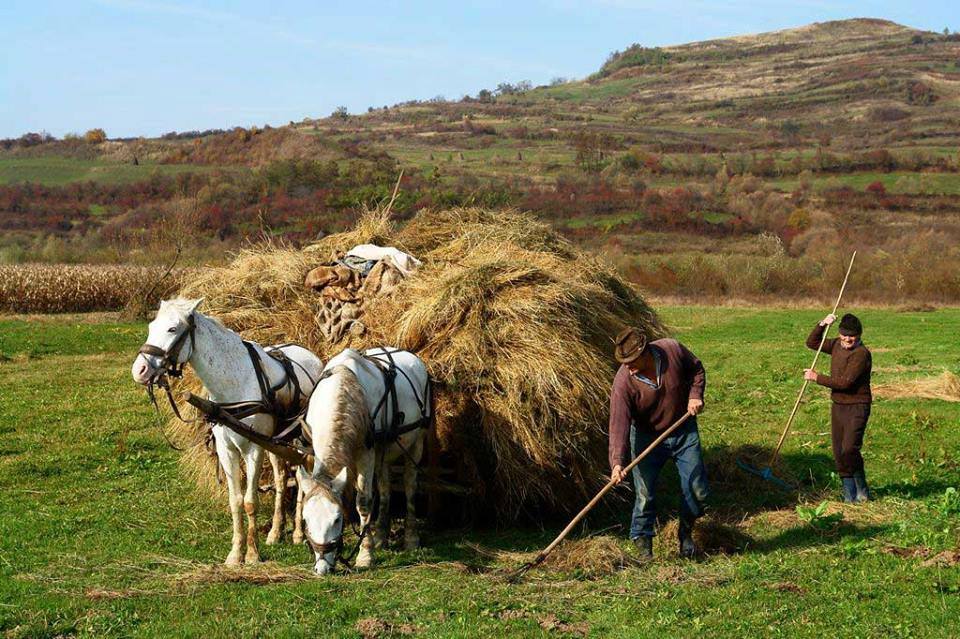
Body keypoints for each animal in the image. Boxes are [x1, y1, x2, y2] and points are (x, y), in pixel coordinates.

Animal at [129, 298, 324, 564]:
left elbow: (250, 501)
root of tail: (312, 356)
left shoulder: (253, 448)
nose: (139, 370)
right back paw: (276, 531)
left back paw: (298, 533)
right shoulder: (226, 449)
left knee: (304, 476)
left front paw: (252, 554)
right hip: (276, 441)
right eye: (151, 326)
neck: (235, 382)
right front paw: (235, 553)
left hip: (300, 438)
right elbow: (235, 500)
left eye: (172, 329)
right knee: (282, 478)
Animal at [300, 348, 432, 576]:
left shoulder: (366, 453)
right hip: (385, 450)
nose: (322, 568)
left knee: (409, 484)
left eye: (337, 519)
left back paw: (411, 538)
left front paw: (365, 554)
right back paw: (380, 536)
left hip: (417, 442)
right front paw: (373, 541)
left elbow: (363, 502)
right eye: (306, 520)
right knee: (385, 486)